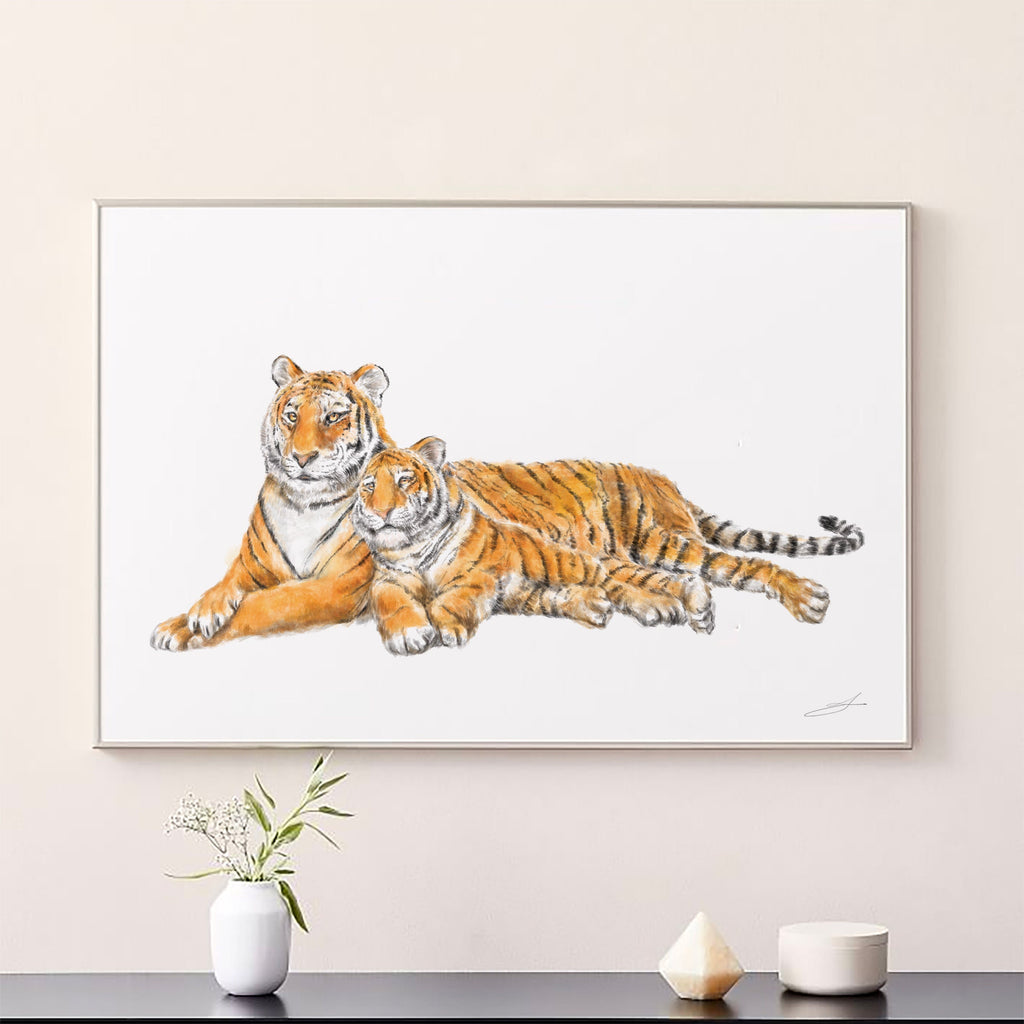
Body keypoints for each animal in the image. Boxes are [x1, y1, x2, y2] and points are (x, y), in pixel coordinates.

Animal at [352, 439, 693, 654]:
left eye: (404, 480)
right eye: (369, 485)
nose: (382, 512)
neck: (414, 544)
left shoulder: (477, 573)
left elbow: (452, 598)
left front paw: (447, 627)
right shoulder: (389, 579)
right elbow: (391, 601)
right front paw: (407, 635)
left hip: (567, 559)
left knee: (608, 577)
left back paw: (664, 604)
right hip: (530, 589)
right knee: (567, 592)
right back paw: (595, 605)